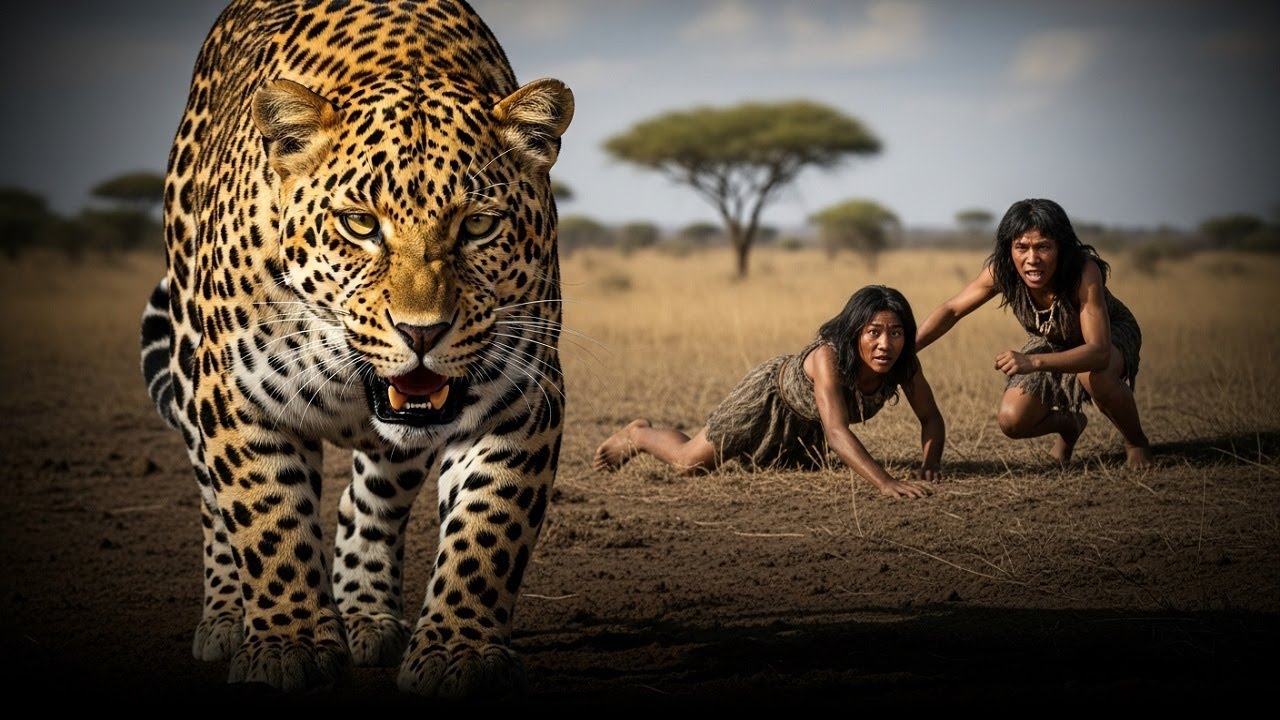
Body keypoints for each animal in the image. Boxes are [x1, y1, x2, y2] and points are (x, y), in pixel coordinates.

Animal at [138, 0, 573, 698]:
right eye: (360, 224)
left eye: (478, 225)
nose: (422, 332)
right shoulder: (234, 394)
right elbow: (268, 521)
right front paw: (287, 643)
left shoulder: (523, 396)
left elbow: (487, 532)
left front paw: (459, 651)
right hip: (186, 356)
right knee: (212, 501)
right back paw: (228, 615)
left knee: (367, 503)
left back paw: (367, 613)